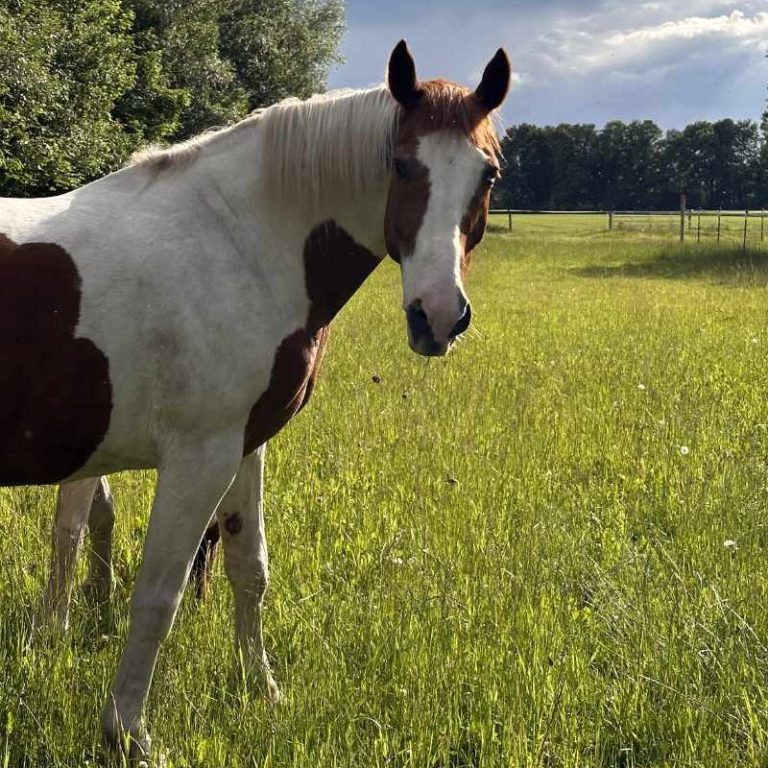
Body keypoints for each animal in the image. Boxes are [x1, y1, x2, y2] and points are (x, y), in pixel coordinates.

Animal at [0, 40, 510, 755]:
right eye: (401, 164)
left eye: (487, 175)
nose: (436, 316)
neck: (238, 243)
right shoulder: (198, 458)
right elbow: (157, 595)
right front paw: (128, 732)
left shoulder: (244, 446)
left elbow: (249, 568)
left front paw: (261, 689)